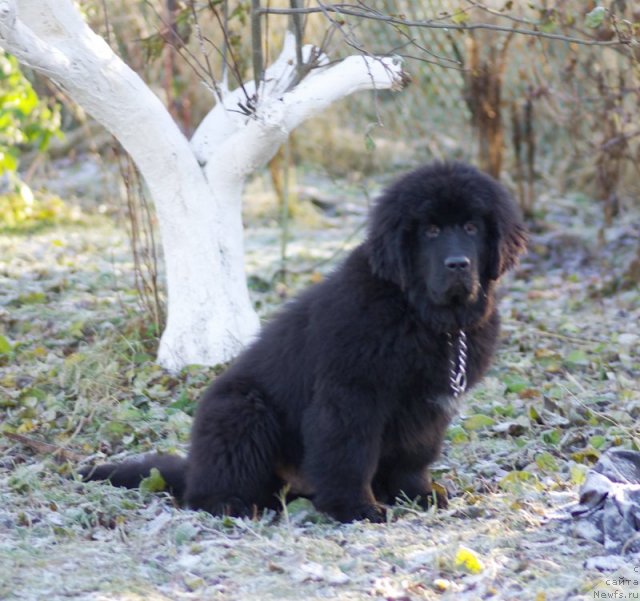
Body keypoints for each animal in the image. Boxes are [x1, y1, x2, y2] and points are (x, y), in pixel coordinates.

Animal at [82, 162, 528, 524]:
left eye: (471, 227)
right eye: (431, 230)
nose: (458, 265)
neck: (416, 311)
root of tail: (193, 468)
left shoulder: (427, 407)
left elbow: (412, 456)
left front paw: (417, 495)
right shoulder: (351, 395)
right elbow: (350, 454)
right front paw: (356, 508)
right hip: (242, 410)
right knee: (206, 491)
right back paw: (233, 504)